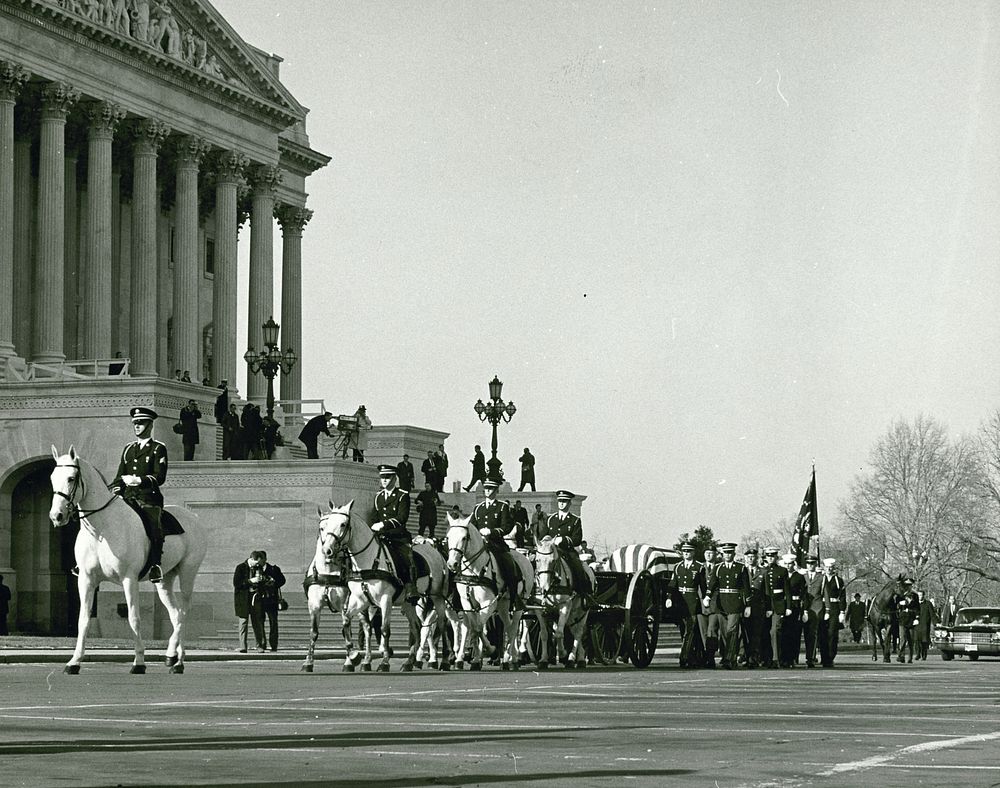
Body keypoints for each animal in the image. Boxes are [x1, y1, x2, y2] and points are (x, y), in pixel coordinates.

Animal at [48, 446, 207, 676]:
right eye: (52, 478)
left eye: (71, 478)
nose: (56, 516)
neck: (102, 529)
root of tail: (193, 517)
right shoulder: (86, 580)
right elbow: (83, 620)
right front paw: (74, 662)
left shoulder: (128, 579)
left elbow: (133, 618)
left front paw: (139, 662)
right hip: (164, 580)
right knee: (176, 614)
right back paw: (171, 655)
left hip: (188, 573)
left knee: (184, 612)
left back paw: (179, 662)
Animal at [318, 502, 452, 668]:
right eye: (326, 524)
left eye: (343, 524)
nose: (327, 550)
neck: (367, 560)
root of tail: (438, 554)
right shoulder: (361, 600)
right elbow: (349, 622)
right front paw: (357, 657)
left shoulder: (385, 599)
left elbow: (384, 629)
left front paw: (384, 662)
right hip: (408, 602)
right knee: (416, 627)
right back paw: (409, 662)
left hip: (437, 598)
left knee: (442, 624)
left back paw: (444, 660)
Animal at [446, 516, 536, 676]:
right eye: (448, 537)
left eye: (464, 538)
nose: (452, 564)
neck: (474, 569)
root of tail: (524, 557)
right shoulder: (467, 603)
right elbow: (473, 628)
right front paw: (473, 659)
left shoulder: (488, 603)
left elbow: (478, 627)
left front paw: (489, 650)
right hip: (503, 605)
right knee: (508, 626)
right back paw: (508, 659)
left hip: (518, 605)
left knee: (513, 628)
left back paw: (511, 659)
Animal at [536, 536, 588, 664]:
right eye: (537, 560)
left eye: (553, 561)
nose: (544, 588)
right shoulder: (539, 609)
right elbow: (544, 634)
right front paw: (543, 659)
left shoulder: (565, 606)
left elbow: (559, 633)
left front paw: (563, 653)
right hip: (570, 614)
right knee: (572, 630)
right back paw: (579, 656)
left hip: (582, 612)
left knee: (578, 632)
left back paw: (573, 658)